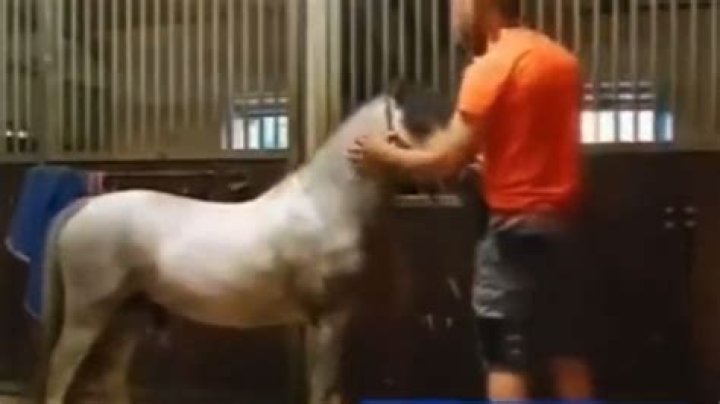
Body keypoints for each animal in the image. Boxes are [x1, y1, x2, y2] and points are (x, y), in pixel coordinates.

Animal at [30, 86, 454, 404]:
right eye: (419, 121)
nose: (451, 166)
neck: (325, 206)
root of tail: (85, 206)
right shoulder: (328, 319)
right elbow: (323, 390)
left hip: (127, 314)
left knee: (111, 375)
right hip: (89, 313)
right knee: (60, 371)